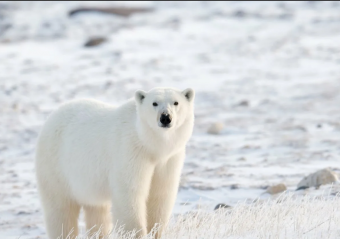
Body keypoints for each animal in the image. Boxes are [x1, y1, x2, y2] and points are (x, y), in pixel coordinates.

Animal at [35, 87, 194, 238]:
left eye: (176, 102)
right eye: (154, 103)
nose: (165, 117)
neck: (149, 145)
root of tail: (52, 116)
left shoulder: (168, 159)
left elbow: (160, 194)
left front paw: (155, 232)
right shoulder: (130, 151)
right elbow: (130, 193)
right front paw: (136, 233)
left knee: (97, 212)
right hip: (56, 167)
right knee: (61, 210)